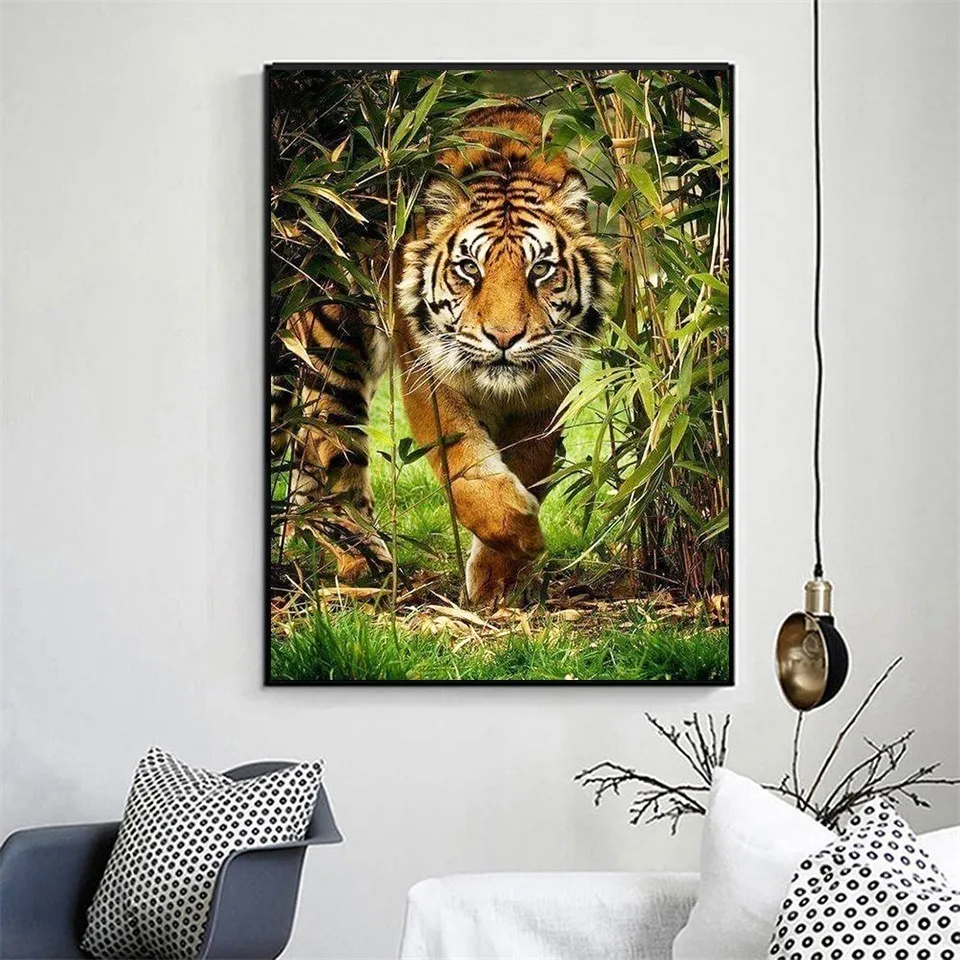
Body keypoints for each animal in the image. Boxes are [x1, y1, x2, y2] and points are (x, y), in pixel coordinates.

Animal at [277, 104, 613, 606]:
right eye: (469, 268)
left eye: (540, 270)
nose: (503, 337)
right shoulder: (429, 375)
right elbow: (466, 468)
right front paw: (524, 536)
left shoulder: (549, 391)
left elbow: (529, 466)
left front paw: (498, 579)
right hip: (334, 347)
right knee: (333, 453)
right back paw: (367, 564)